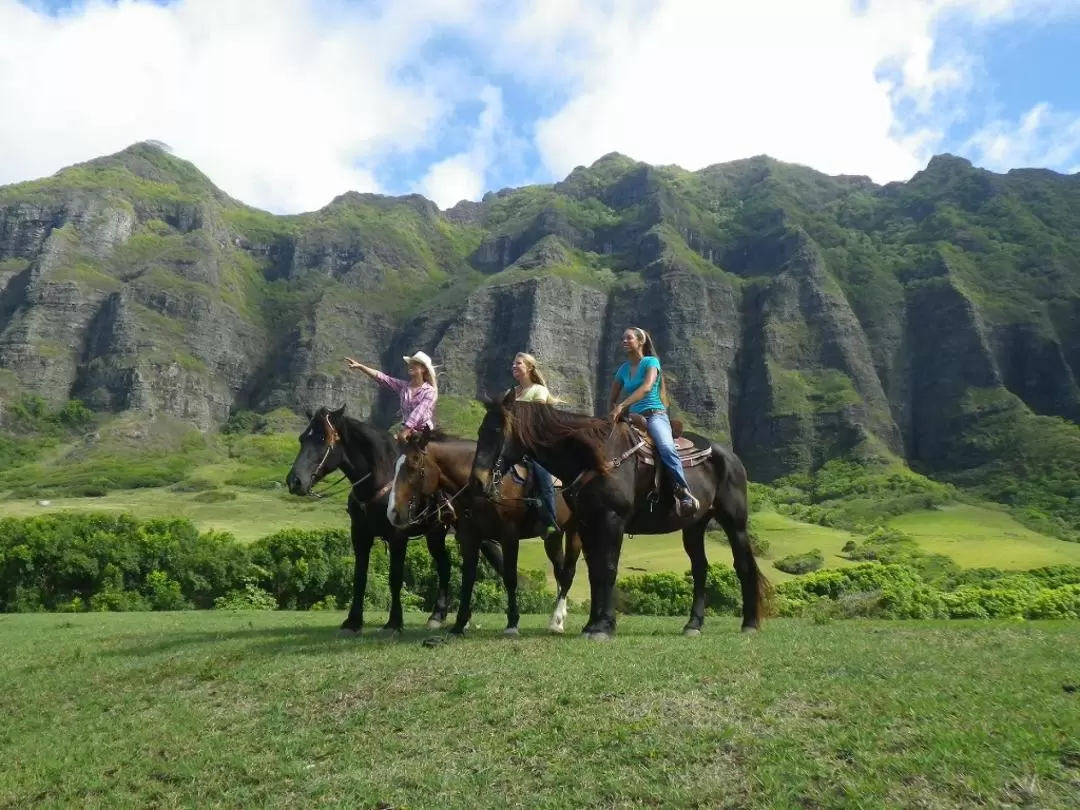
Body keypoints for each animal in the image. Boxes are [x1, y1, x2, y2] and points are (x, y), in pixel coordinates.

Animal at [287, 406, 505, 635]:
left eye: (322, 438)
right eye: (303, 438)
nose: (295, 481)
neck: (381, 477)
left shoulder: (397, 536)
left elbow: (395, 578)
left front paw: (393, 623)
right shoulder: (360, 535)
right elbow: (359, 577)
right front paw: (353, 622)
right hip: (436, 534)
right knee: (446, 567)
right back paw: (438, 616)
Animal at [386, 432, 583, 639]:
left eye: (412, 467)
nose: (393, 513)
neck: (483, 487)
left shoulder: (509, 538)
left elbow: (510, 578)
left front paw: (512, 624)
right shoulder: (469, 538)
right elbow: (468, 579)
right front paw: (459, 624)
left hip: (574, 532)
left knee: (568, 573)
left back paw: (556, 621)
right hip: (553, 536)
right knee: (560, 571)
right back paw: (559, 617)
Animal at [468, 390, 773, 639]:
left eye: (497, 430)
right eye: (480, 430)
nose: (478, 482)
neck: (596, 459)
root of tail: (731, 457)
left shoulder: (611, 521)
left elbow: (609, 569)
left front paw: (604, 626)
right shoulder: (587, 525)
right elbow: (595, 572)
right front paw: (592, 624)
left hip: (735, 523)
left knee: (743, 565)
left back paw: (749, 623)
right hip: (694, 525)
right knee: (700, 569)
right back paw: (693, 625)